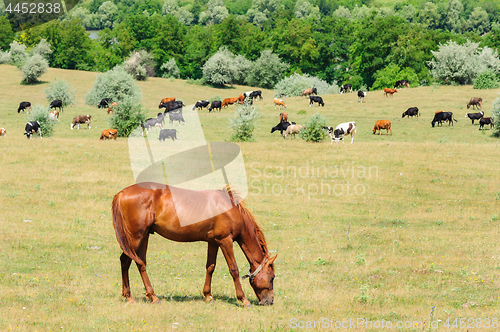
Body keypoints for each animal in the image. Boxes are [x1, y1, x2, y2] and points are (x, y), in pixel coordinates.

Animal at [112, 183, 278, 308]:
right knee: (127, 261)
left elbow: (210, 267)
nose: (269, 302)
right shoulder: (225, 241)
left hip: (144, 236)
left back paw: (143, 296)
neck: (230, 208)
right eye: (272, 278)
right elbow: (234, 270)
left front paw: (208, 296)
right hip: (136, 237)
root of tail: (121, 193)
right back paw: (138, 297)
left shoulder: (213, 242)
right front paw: (243, 300)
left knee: (139, 263)